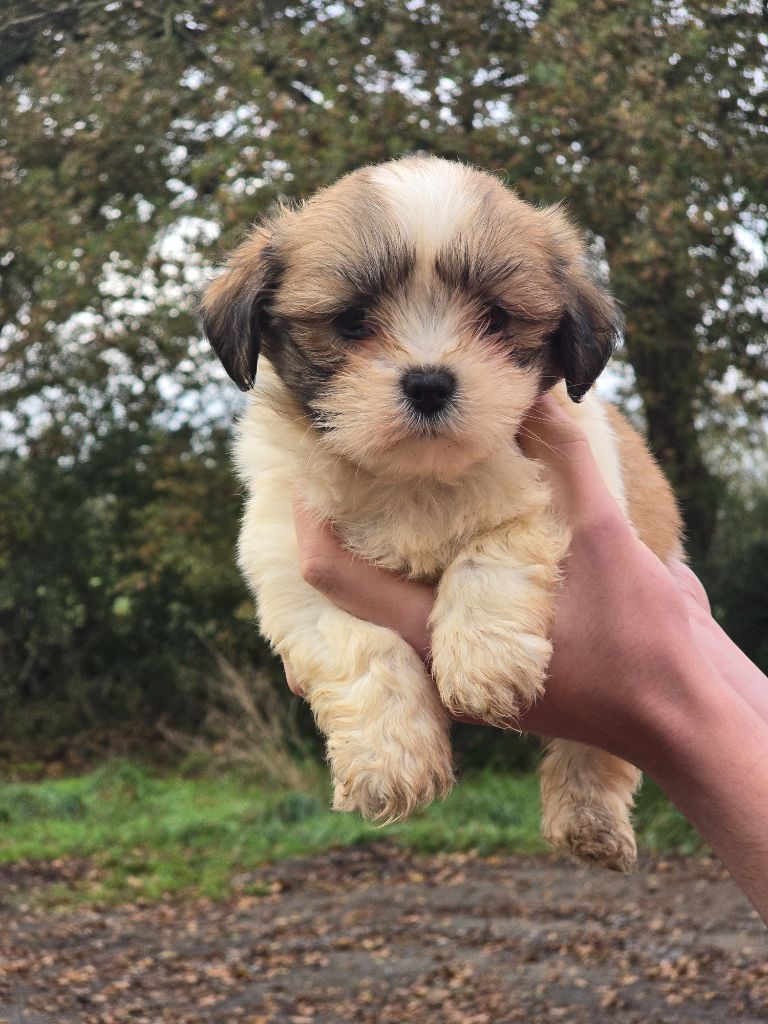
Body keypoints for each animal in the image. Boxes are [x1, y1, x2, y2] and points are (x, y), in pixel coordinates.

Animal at [201, 153, 684, 872]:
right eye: (351, 322)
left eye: (495, 318)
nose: (429, 382)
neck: (413, 480)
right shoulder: (290, 559)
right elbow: (361, 646)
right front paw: (390, 763)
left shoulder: (553, 495)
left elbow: (493, 553)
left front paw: (482, 663)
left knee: (601, 746)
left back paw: (589, 819)